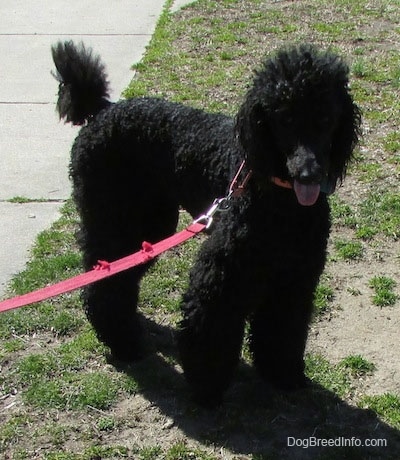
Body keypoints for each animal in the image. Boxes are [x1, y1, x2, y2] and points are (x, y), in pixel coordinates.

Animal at [51, 40, 360, 406]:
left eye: (326, 118)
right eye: (284, 118)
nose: (308, 173)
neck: (279, 201)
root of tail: (101, 110)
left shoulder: (294, 278)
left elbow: (284, 328)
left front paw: (282, 374)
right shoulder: (222, 273)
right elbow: (210, 327)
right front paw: (207, 387)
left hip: (150, 224)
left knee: (120, 274)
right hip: (112, 217)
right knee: (104, 281)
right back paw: (124, 343)